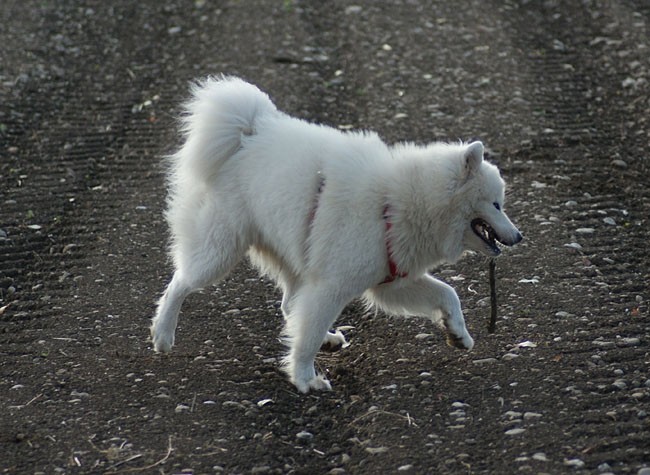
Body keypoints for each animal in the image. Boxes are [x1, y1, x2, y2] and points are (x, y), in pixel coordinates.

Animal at [149, 75, 520, 394]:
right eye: (496, 204)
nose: (518, 236)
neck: (403, 201)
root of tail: (248, 132)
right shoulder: (333, 285)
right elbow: (307, 337)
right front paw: (304, 378)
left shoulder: (391, 281)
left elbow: (448, 293)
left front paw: (459, 334)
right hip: (220, 249)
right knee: (180, 282)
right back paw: (162, 334)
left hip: (294, 250)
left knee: (289, 304)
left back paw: (328, 337)